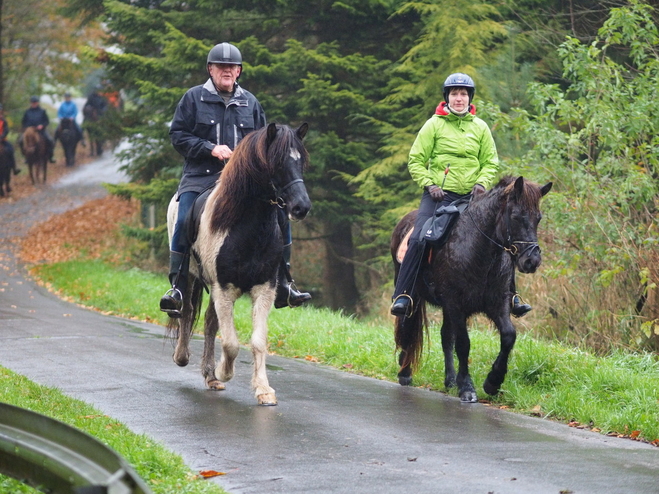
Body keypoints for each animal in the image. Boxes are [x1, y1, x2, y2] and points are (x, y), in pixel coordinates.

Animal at [164, 122, 310, 406]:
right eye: (277, 163)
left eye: (301, 162)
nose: (302, 207)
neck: (246, 228)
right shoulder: (224, 289)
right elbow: (231, 343)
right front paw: (225, 371)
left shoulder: (264, 289)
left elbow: (258, 340)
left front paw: (264, 390)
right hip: (191, 276)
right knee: (186, 310)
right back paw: (183, 357)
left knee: (209, 322)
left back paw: (210, 376)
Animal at [392, 177, 552, 402]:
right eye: (516, 216)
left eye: (538, 218)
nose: (532, 261)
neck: (479, 251)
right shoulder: (455, 304)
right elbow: (463, 344)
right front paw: (467, 387)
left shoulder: (497, 303)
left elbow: (508, 336)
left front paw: (493, 382)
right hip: (413, 295)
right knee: (407, 324)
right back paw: (405, 372)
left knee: (445, 337)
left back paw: (450, 380)